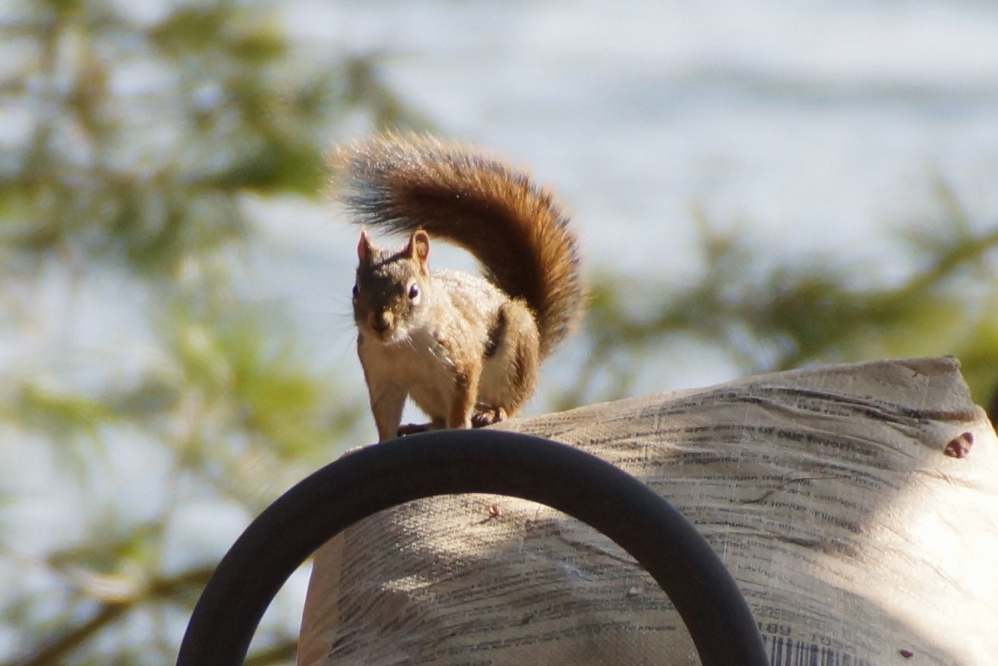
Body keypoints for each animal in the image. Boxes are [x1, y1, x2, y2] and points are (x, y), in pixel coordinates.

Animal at [331, 133, 585, 442]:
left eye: (413, 291)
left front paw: (461, 425)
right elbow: (385, 417)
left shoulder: (461, 359)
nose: (380, 324)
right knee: (438, 418)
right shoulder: (382, 377)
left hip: (516, 357)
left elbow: (462, 400)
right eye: (356, 290)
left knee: (511, 403)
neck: (404, 343)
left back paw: (493, 412)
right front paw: (386, 440)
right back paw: (421, 426)